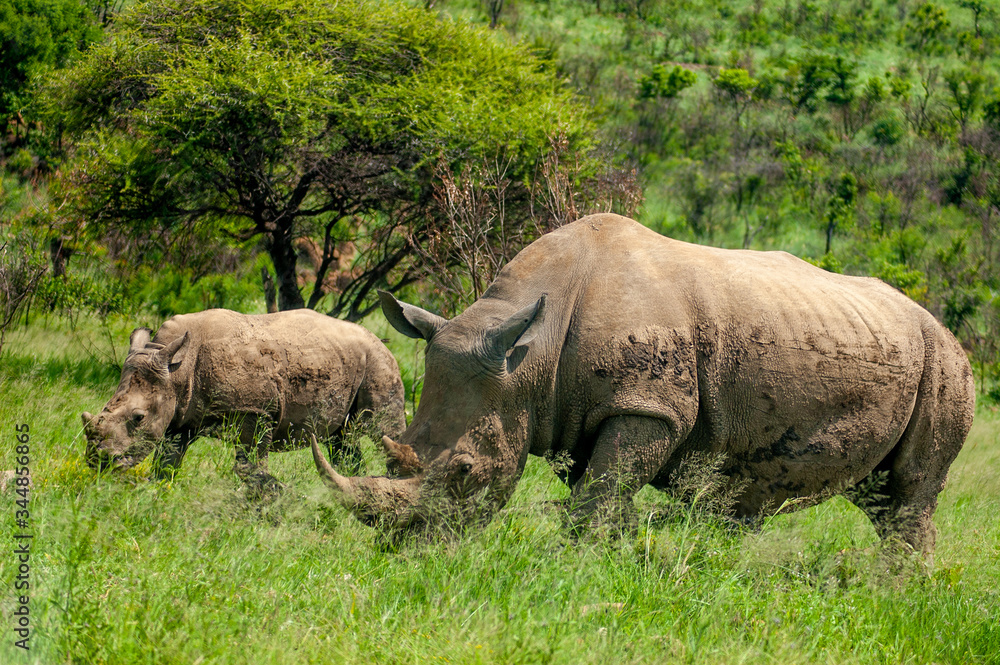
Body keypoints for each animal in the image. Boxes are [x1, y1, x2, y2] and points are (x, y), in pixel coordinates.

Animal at [82, 308, 405, 489]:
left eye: (138, 418)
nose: (98, 461)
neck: (176, 372)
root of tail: (378, 338)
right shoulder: (180, 417)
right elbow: (166, 463)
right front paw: (157, 493)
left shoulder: (256, 412)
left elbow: (249, 465)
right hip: (345, 359)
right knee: (341, 439)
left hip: (379, 361)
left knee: (384, 431)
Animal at [313, 214, 975, 553]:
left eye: (465, 471)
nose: (406, 551)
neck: (528, 355)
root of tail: (942, 326)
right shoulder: (583, 412)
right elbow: (602, 494)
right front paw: (618, 558)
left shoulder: (647, 407)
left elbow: (596, 498)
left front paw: (573, 568)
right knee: (874, 496)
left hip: (946, 364)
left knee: (910, 491)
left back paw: (894, 597)